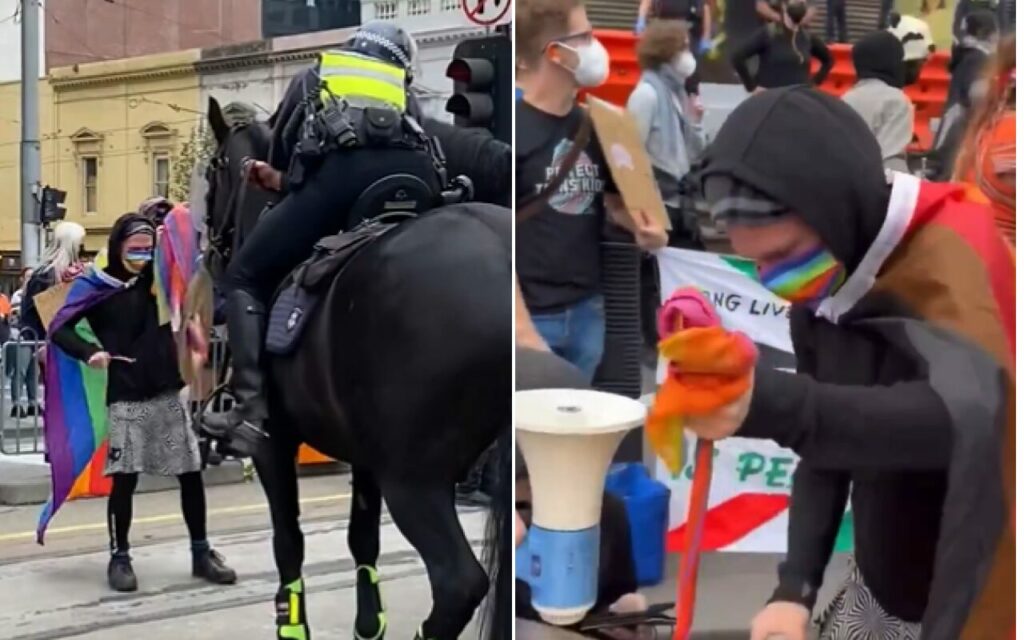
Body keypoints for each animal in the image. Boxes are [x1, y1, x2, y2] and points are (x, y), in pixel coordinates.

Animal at [198, 96, 507, 638]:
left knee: (458, 582)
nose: (209, 248)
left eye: (214, 171)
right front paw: (369, 621)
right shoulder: (365, 455)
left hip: (416, 478)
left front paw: (292, 623)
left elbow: (289, 540)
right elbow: (363, 537)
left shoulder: (274, 446)